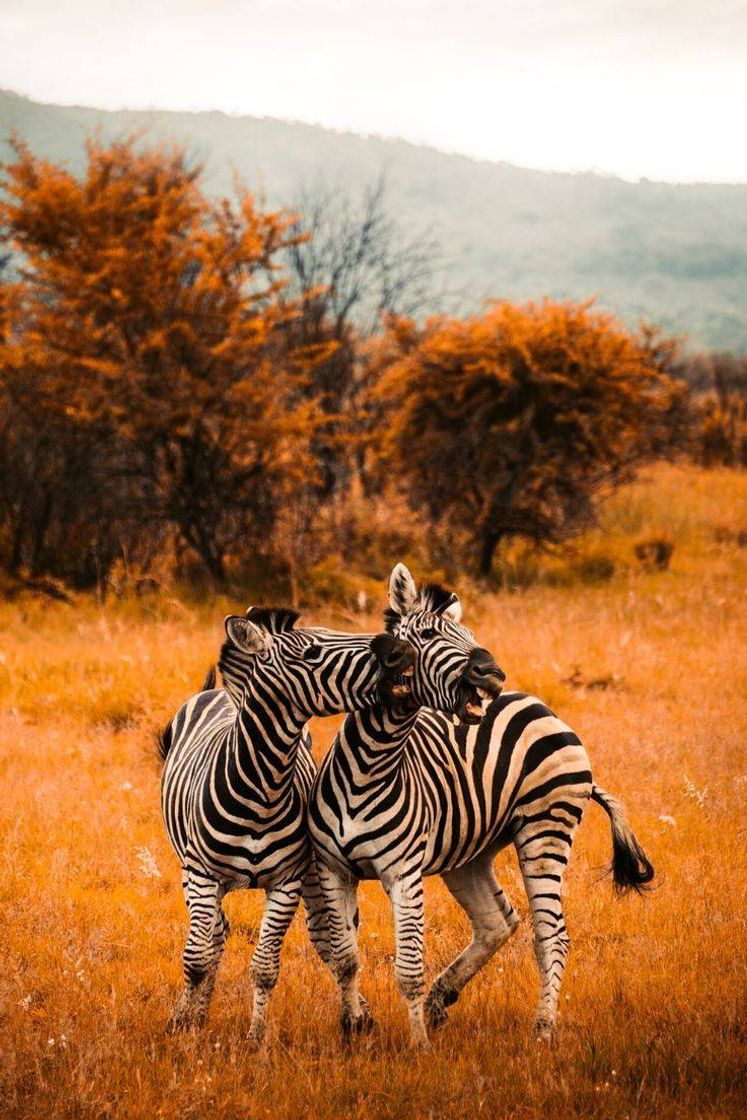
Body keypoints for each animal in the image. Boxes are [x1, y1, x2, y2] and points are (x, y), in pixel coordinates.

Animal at [159, 605, 414, 1046]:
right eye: (312, 652)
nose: (397, 652)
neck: (262, 787)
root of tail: (219, 692)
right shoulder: (202, 874)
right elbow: (196, 959)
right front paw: (183, 1026)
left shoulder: (287, 881)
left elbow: (264, 967)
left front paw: (256, 1037)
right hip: (190, 872)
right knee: (213, 936)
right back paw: (197, 1014)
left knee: (323, 937)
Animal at [308, 564, 654, 1047]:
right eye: (429, 633)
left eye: (469, 634)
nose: (493, 673)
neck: (370, 766)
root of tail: (542, 706)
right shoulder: (332, 867)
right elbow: (344, 957)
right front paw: (353, 1029)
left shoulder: (403, 872)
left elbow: (408, 969)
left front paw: (418, 1047)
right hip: (470, 851)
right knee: (498, 921)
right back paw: (441, 1000)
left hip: (544, 830)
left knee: (551, 935)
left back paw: (543, 1029)